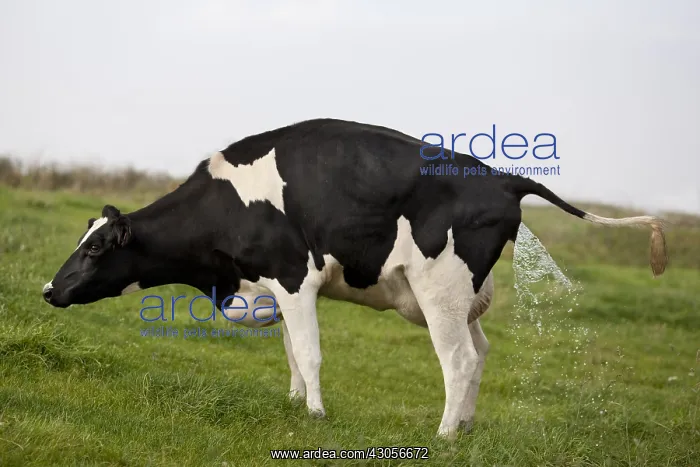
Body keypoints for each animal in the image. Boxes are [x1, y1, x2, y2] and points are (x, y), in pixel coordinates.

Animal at [42, 118, 667, 439]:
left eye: (95, 247)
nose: (50, 289)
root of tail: (503, 178)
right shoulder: (276, 287)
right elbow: (292, 352)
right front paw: (295, 401)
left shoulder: (294, 277)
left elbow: (310, 352)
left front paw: (316, 413)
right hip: (462, 296)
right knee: (481, 352)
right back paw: (465, 426)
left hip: (440, 288)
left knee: (460, 359)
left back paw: (443, 435)